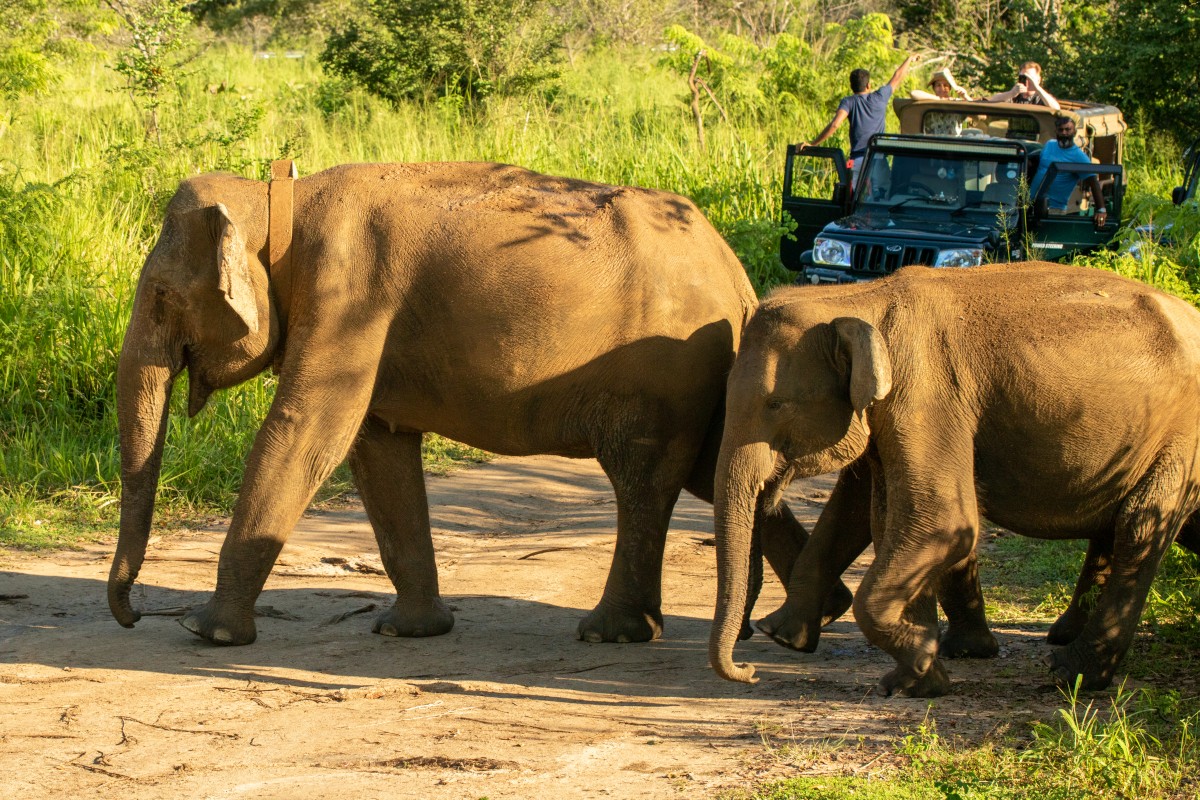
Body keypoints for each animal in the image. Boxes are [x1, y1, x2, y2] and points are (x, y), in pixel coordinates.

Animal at [108, 160, 853, 648]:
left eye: (162, 298)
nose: (133, 614)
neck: (278, 194)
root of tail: (738, 280)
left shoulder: (348, 297)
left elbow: (307, 434)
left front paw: (209, 634)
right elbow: (377, 449)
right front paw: (411, 632)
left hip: (665, 376)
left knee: (644, 481)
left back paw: (613, 634)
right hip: (702, 379)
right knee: (712, 471)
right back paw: (816, 614)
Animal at [710, 261, 1200, 696]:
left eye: (775, 405)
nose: (749, 669)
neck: (860, 298)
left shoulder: (925, 392)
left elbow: (941, 522)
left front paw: (919, 662)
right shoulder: (896, 409)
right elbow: (883, 516)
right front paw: (914, 679)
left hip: (1180, 437)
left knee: (1140, 525)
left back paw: (1069, 673)